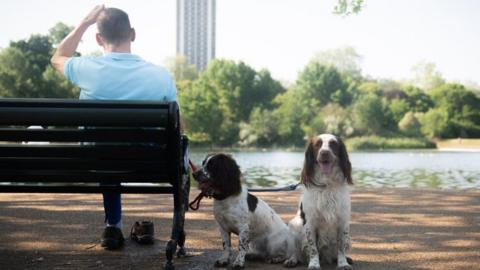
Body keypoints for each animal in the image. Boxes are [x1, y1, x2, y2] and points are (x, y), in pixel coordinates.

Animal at [286, 134, 354, 270]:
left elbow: (341, 247)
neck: (326, 184)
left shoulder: (343, 222)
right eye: (318, 144)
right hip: (294, 225)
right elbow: (313, 248)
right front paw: (314, 264)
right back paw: (292, 260)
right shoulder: (310, 223)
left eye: (333, 144)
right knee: (296, 251)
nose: (324, 153)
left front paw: (343, 263)